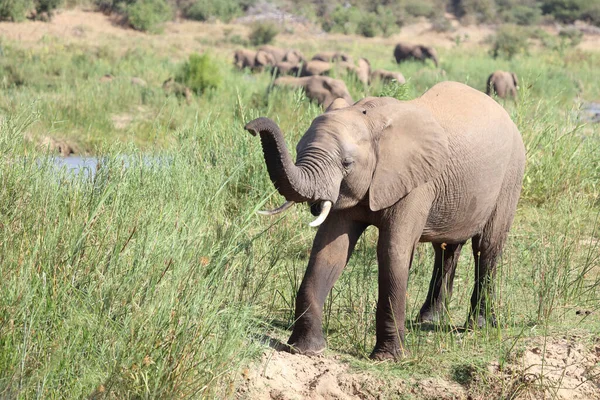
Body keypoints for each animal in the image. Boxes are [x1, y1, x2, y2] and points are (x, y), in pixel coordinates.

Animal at [244, 81, 524, 360]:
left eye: (347, 163)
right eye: (298, 150)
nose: (250, 128)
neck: (370, 119)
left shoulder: (415, 182)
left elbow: (392, 251)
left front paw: (388, 358)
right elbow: (330, 251)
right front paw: (305, 350)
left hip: (511, 173)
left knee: (486, 247)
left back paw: (478, 324)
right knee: (446, 248)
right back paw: (428, 319)